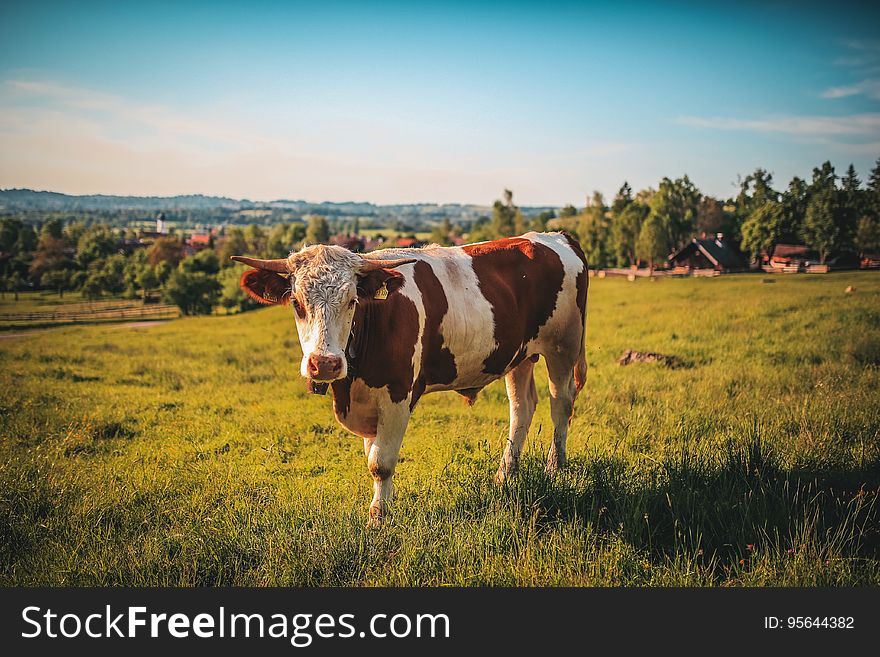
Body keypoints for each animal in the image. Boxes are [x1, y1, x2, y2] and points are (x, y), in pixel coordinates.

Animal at [234, 231, 592, 524]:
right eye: (297, 303)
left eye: (352, 301)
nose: (324, 363)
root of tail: (556, 236)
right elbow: (373, 455)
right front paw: (383, 506)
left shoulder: (398, 395)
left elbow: (381, 463)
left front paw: (378, 518)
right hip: (519, 355)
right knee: (522, 407)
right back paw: (504, 475)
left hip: (563, 345)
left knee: (561, 403)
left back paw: (555, 467)